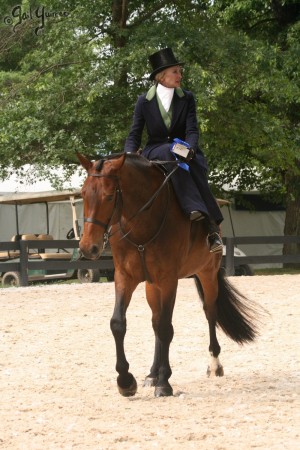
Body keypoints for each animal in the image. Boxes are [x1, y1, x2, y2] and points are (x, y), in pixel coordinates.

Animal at [78, 152, 258, 398]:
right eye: (83, 194)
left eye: (108, 196)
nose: (88, 248)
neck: (141, 222)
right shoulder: (125, 277)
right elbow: (119, 323)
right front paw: (126, 381)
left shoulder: (169, 280)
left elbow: (166, 327)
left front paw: (164, 383)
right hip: (151, 285)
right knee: (155, 321)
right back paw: (152, 374)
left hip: (206, 273)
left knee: (209, 313)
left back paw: (213, 364)